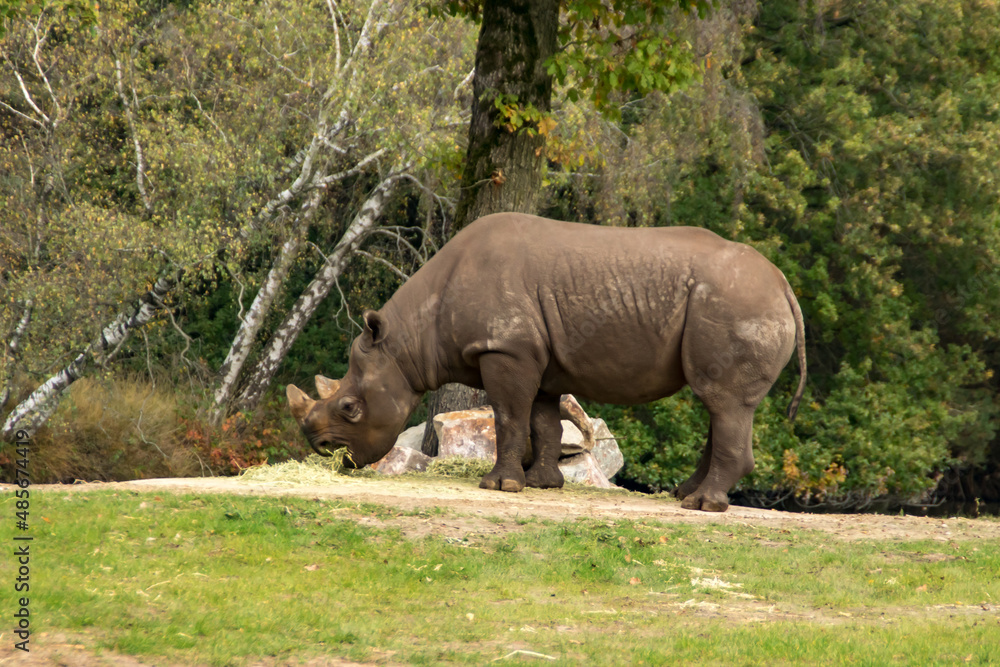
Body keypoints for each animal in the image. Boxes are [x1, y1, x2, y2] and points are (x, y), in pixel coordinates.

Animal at [287, 213, 806, 512]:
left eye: (351, 408)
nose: (325, 452)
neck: (408, 339)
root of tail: (783, 284)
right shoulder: (535, 356)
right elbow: (542, 420)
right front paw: (542, 484)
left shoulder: (505, 347)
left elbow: (507, 415)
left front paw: (499, 487)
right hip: (742, 302)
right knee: (720, 405)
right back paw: (685, 495)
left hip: (739, 303)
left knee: (722, 400)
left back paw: (700, 506)